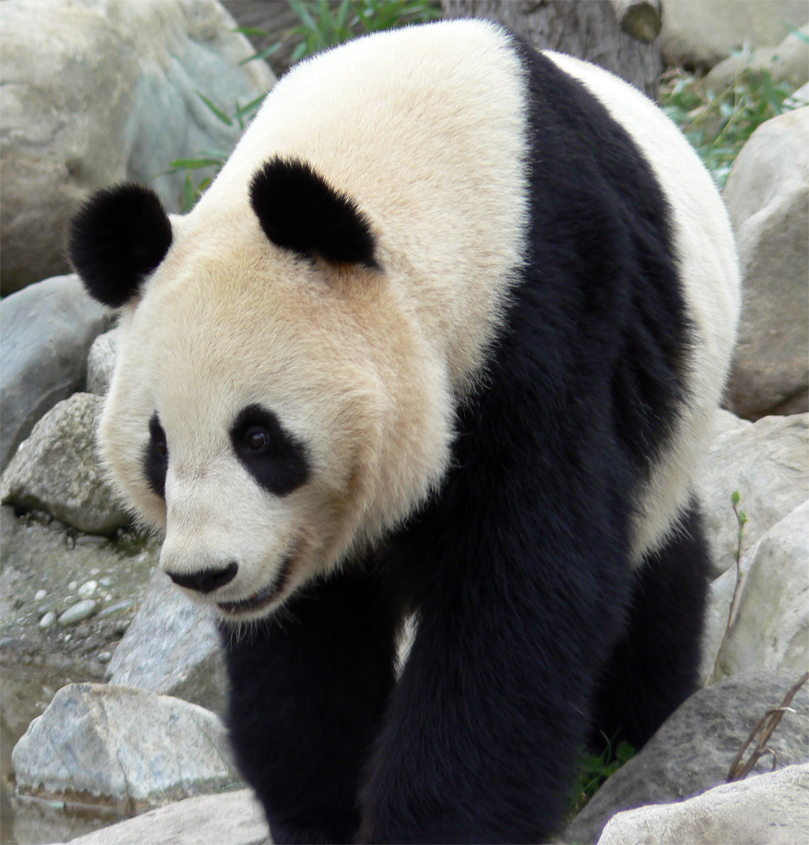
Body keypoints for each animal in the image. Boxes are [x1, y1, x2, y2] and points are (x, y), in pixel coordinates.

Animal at [69, 19, 740, 844]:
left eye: (258, 437)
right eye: (158, 445)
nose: (204, 573)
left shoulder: (546, 322)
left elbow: (522, 594)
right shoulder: (290, 548)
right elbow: (305, 646)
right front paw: (319, 812)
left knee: (652, 569)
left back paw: (635, 726)